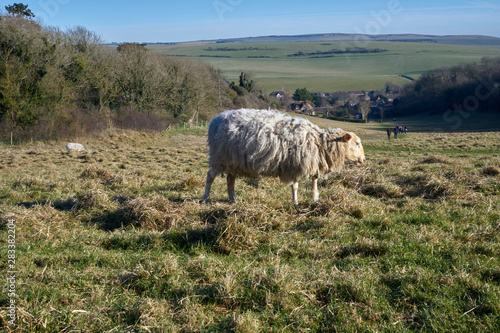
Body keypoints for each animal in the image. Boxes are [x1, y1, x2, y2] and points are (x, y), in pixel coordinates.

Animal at [201, 107, 366, 204]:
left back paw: (232, 199)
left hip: (233, 161)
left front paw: (315, 199)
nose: (363, 160)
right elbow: (295, 186)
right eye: (357, 143)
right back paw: (205, 198)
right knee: (210, 176)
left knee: (230, 180)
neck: (319, 142)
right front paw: (295, 203)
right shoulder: (295, 165)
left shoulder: (310, 163)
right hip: (219, 157)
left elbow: (314, 182)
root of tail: (215, 120)